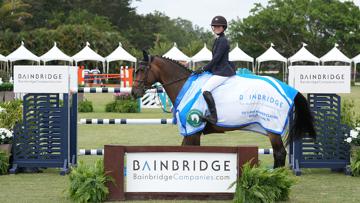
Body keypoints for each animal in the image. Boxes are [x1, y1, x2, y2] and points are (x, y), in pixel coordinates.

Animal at [131, 52, 316, 168]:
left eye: (142, 70)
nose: (134, 92)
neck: (184, 85)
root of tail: (289, 89)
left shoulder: (193, 130)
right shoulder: (189, 131)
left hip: (273, 128)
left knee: (279, 154)